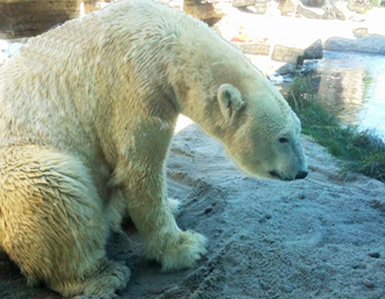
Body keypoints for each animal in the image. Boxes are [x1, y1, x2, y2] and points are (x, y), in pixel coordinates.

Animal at [0, 0, 306, 296]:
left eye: (299, 129)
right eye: (283, 138)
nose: (302, 172)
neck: (167, 43)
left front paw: (173, 204)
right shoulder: (135, 86)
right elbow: (140, 170)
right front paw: (184, 247)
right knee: (55, 187)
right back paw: (104, 276)